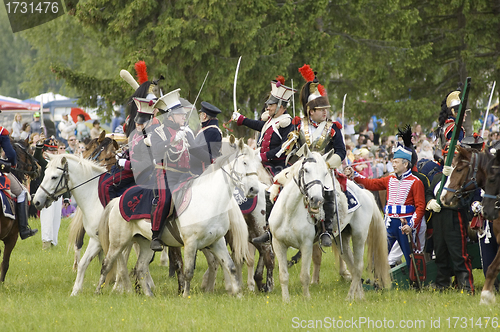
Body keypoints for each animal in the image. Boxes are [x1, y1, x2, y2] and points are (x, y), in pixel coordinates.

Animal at [95, 139, 258, 296]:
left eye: (257, 163)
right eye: (244, 162)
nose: (254, 189)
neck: (208, 199)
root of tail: (117, 200)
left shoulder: (217, 242)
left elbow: (231, 267)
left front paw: (238, 294)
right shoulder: (191, 242)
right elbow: (188, 272)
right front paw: (186, 295)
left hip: (145, 243)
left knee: (140, 268)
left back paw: (149, 295)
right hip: (118, 242)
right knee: (106, 264)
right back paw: (98, 291)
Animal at [270, 145, 390, 300]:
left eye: (324, 173)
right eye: (306, 170)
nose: (316, 199)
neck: (289, 212)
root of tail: (366, 193)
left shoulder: (306, 245)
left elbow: (304, 276)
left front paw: (306, 299)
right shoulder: (278, 244)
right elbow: (283, 276)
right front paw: (286, 300)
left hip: (359, 235)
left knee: (358, 267)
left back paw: (349, 298)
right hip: (341, 239)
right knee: (352, 267)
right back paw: (359, 296)